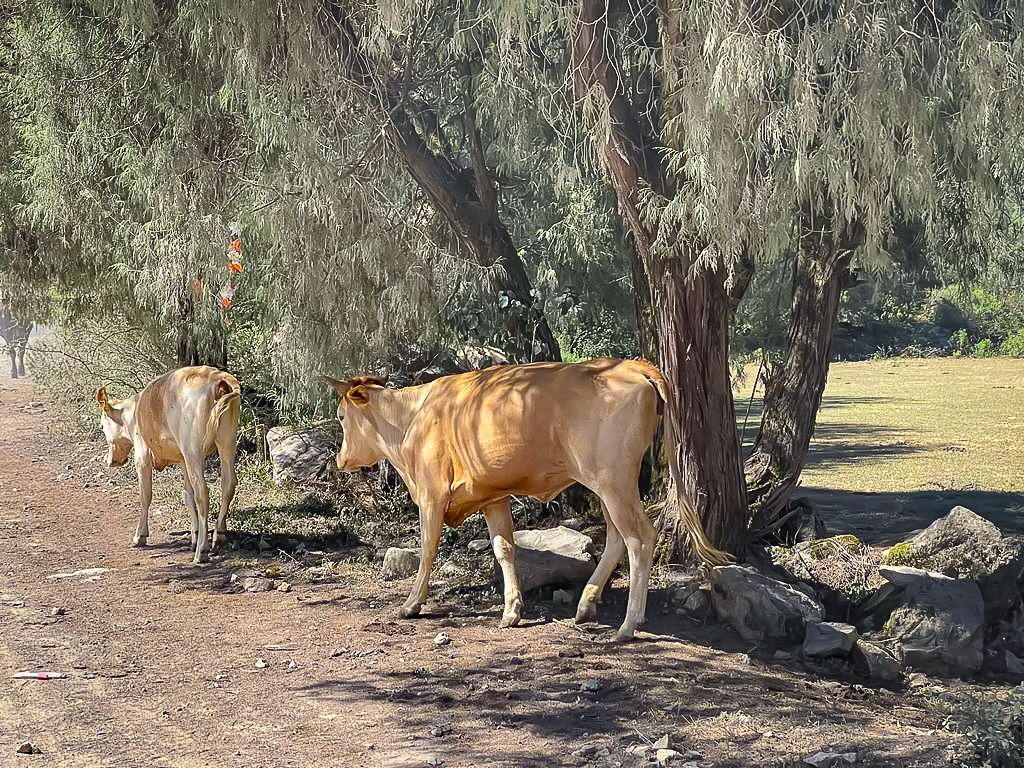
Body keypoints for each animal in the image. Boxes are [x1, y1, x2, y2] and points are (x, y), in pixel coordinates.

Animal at [94, 366, 241, 565]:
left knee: (203, 492)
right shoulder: (182, 460)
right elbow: (187, 495)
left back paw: (202, 550)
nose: (109, 460)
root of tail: (218, 379)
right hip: (226, 444)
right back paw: (220, 535)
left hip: (193, 451)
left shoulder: (142, 457)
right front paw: (194, 535)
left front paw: (140, 536)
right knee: (228, 484)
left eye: (102, 426)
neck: (134, 412)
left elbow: (145, 495)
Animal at [325, 358, 720, 638]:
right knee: (616, 538)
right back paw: (586, 605)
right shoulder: (491, 496)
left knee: (639, 538)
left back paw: (628, 624)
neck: (412, 417)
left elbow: (427, 549)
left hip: (614, 481)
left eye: (342, 416)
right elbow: (504, 549)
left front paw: (411, 604)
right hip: (609, 485)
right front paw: (512, 611)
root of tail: (630, 365)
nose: (339, 460)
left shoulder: (431, 495)